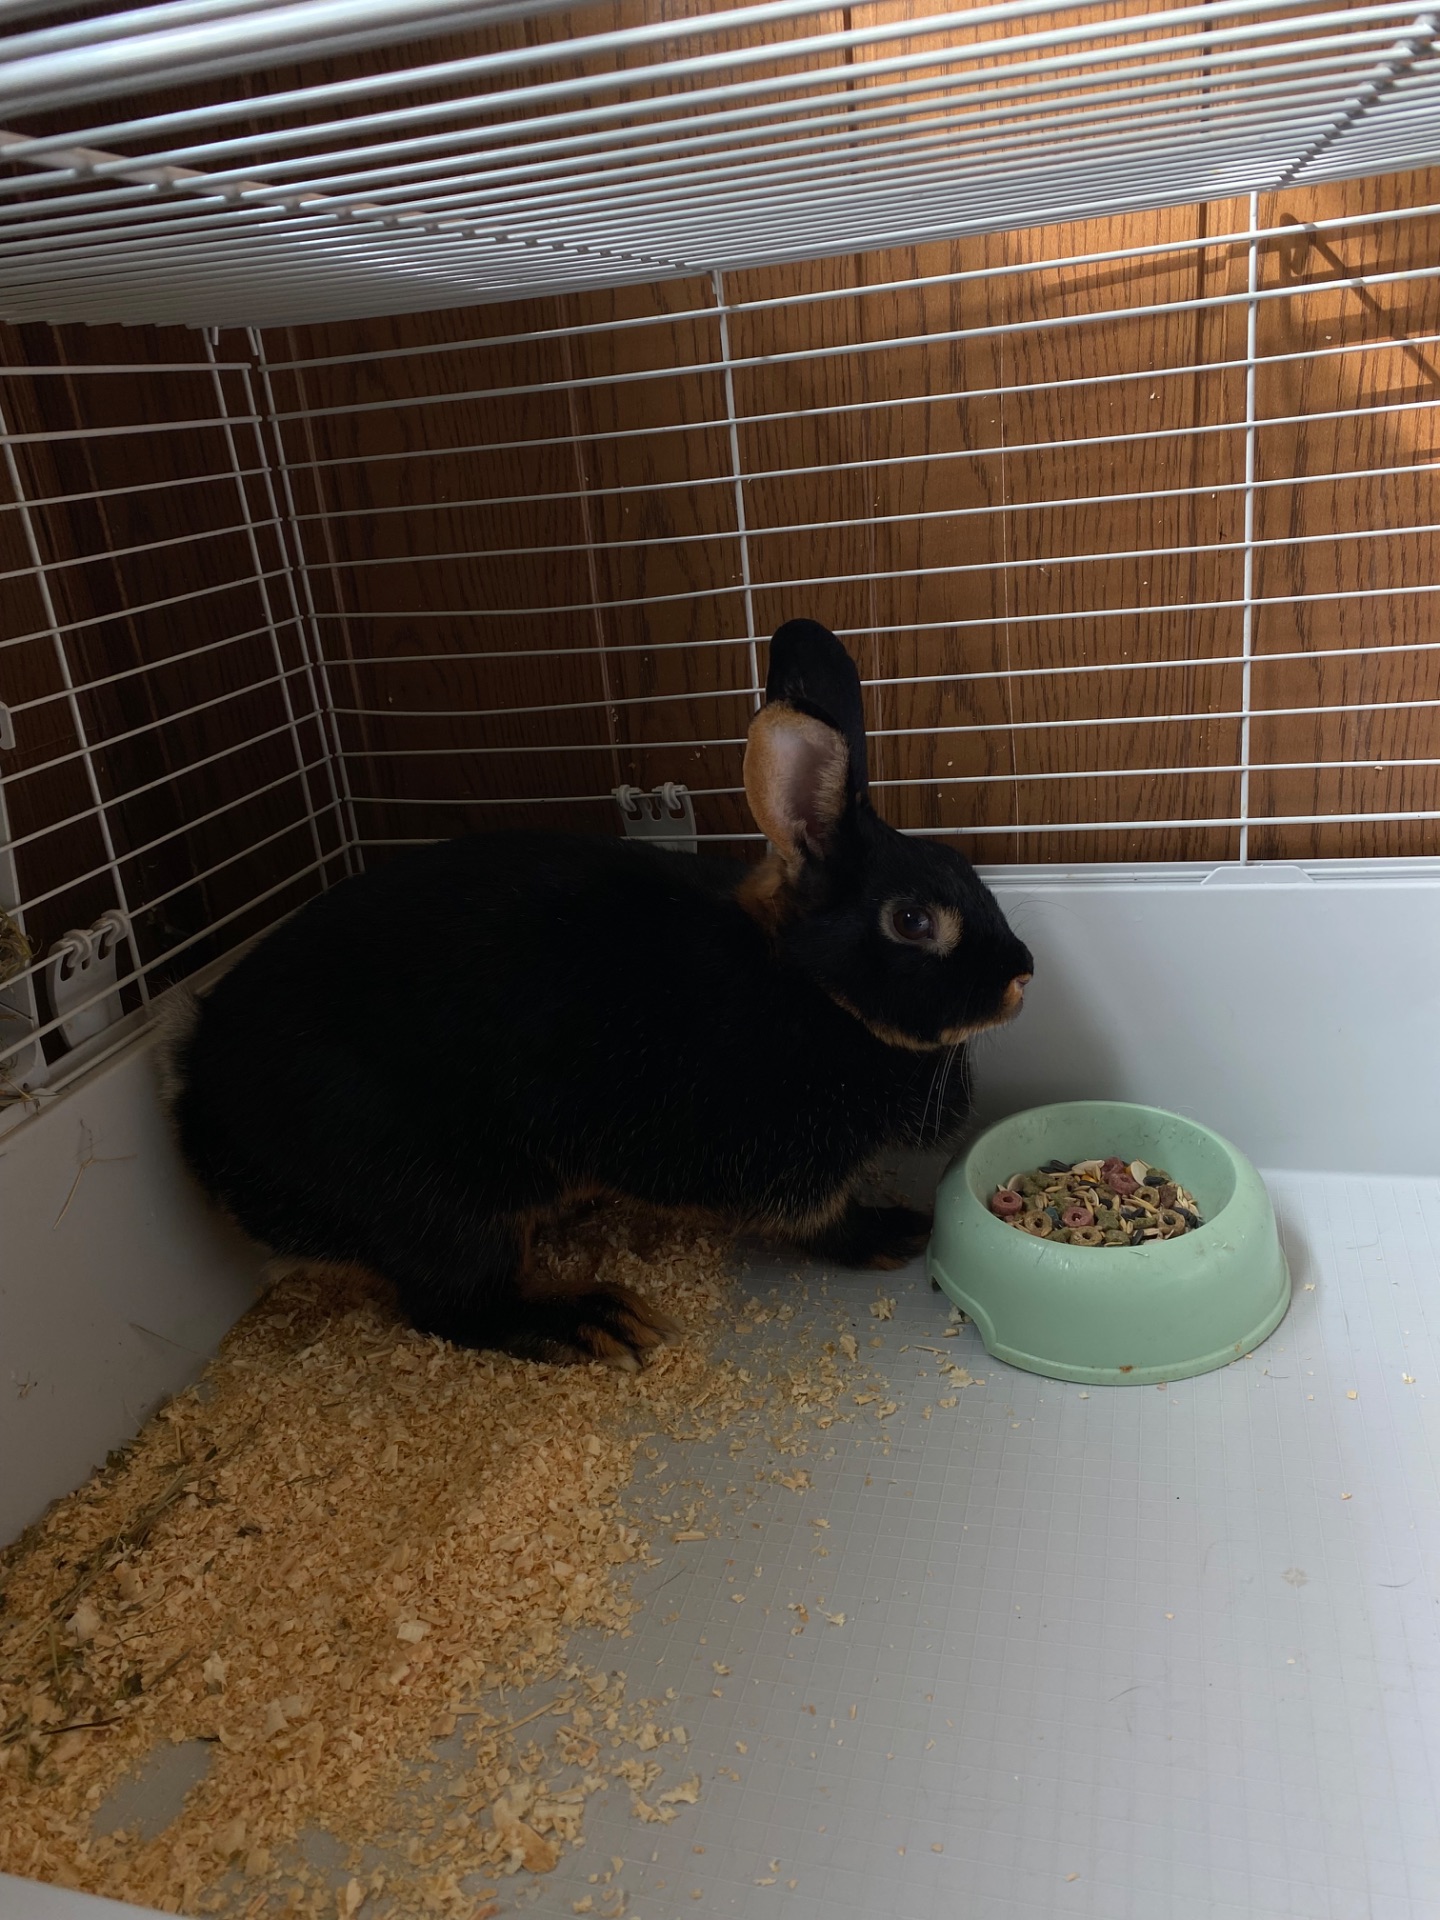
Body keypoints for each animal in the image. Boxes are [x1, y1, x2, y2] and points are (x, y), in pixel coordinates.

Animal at [171, 619, 1033, 1366]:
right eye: (913, 920)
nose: (1022, 973)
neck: (809, 985)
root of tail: (202, 1130)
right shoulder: (768, 1156)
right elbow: (814, 1218)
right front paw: (894, 1231)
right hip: (432, 1195)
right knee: (451, 1303)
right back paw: (592, 1322)